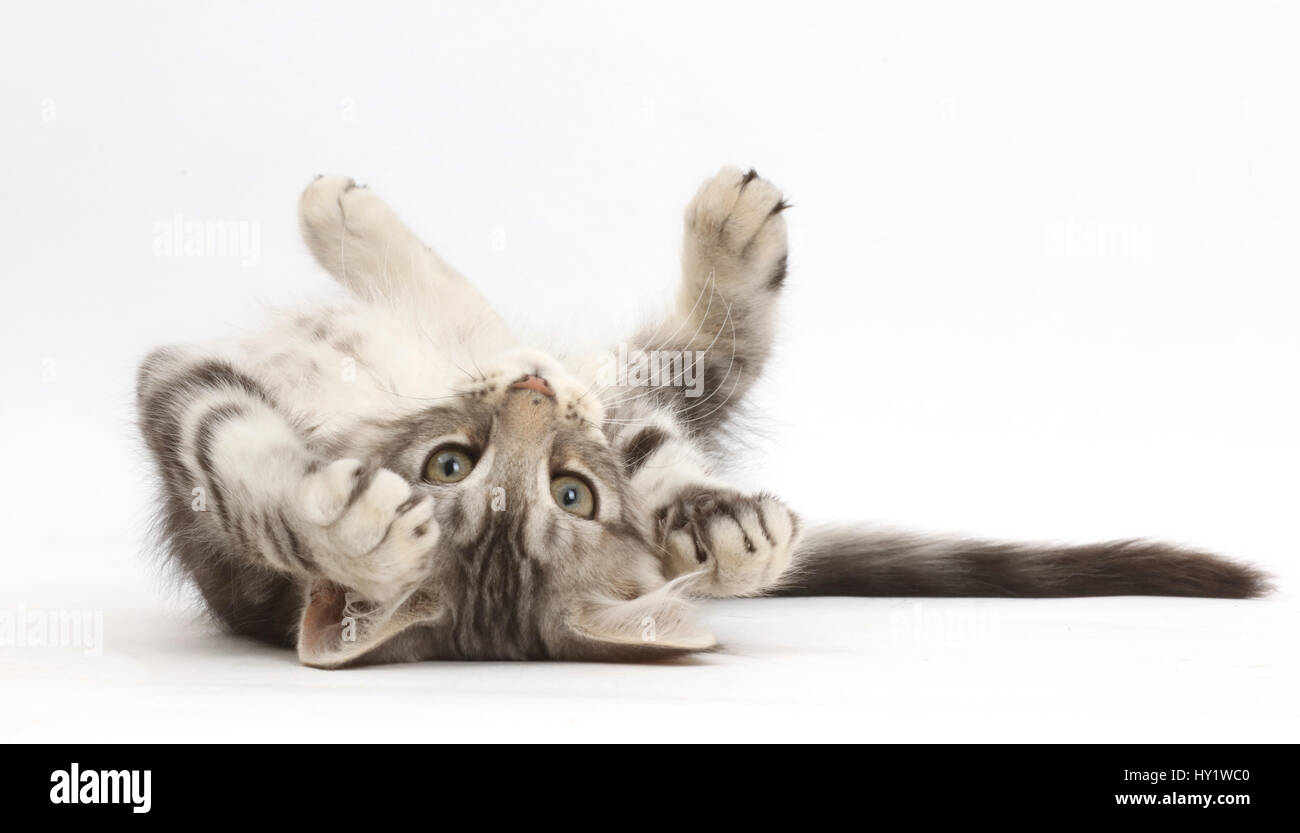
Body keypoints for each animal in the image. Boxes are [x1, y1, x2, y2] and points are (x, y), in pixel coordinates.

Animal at [137, 165, 1263, 665]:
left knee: (685, 388)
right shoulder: (181, 391)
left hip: (634, 399)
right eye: (451, 468)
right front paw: (343, 524)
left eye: (570, 493)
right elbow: (242, 463)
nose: (530, 403)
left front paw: (347, 217)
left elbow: (458, 310)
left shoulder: (557, 397)